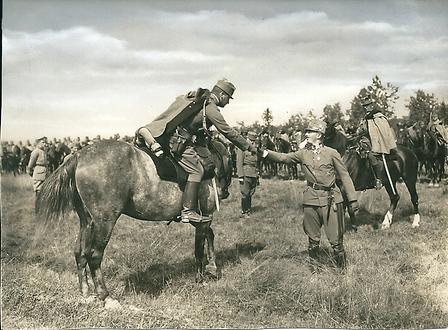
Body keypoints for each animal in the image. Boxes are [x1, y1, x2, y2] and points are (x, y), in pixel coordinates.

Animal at [36, 139, 233, 302]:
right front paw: (201, 277)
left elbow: (209, 237)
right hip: (104, 223)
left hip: (87, 223)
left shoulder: (199, 218)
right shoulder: (205, 217)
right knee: (94, 256)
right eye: (231, 161)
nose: (225, 193)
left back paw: (85, 291)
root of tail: (78, 155)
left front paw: (212, 267)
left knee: (80, 253)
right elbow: (199, 248)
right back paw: (104, 294)